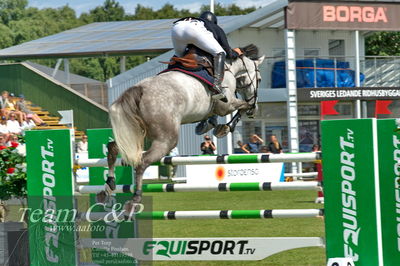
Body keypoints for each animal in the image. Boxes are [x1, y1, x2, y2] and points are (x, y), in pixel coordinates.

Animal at [103, 44, 266, 204]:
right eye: (259, 79)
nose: (255, 108)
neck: (229, 68)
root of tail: (139, 89)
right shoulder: (226, 105)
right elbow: (242, 107)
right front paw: (225, 128)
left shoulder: (216, 108)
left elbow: (216, 115)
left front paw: (207, 125)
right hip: (166, 140)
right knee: (142, 162)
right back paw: (136, 197)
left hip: (134, 132)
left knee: (113, 148)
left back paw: (109, 185)